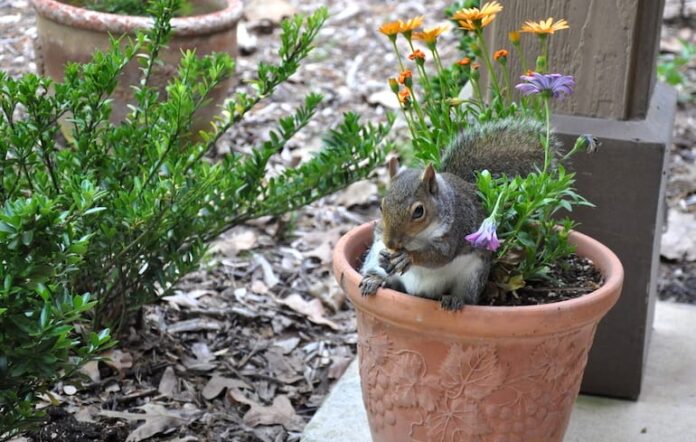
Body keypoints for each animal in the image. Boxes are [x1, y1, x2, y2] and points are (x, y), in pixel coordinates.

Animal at [362, 117, 556, 310]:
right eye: (381, 206)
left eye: (418, 211)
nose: (391, 243)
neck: (419, 238)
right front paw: (385, 257)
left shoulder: (454, 232)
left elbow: (439, 257)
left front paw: (408, 257)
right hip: (373, 261)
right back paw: (374, 279)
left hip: (472, 276)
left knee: (466, 297)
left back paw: (454, 299)